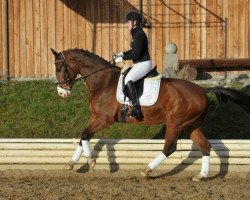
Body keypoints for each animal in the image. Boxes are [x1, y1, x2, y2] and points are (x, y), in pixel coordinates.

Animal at [51, 48, 250, 181]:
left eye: (60, 68)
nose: (62, 93)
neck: (103, 81)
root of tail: (202, 90)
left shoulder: (104, 119)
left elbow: (85, 135)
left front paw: (91, 162)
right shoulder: (95, 117)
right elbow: (83, 136)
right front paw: (71, 163)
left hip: (175, 123)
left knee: (169, 147)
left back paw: (146, 170)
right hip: (191, 126)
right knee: (205, 146)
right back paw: (201, 175)